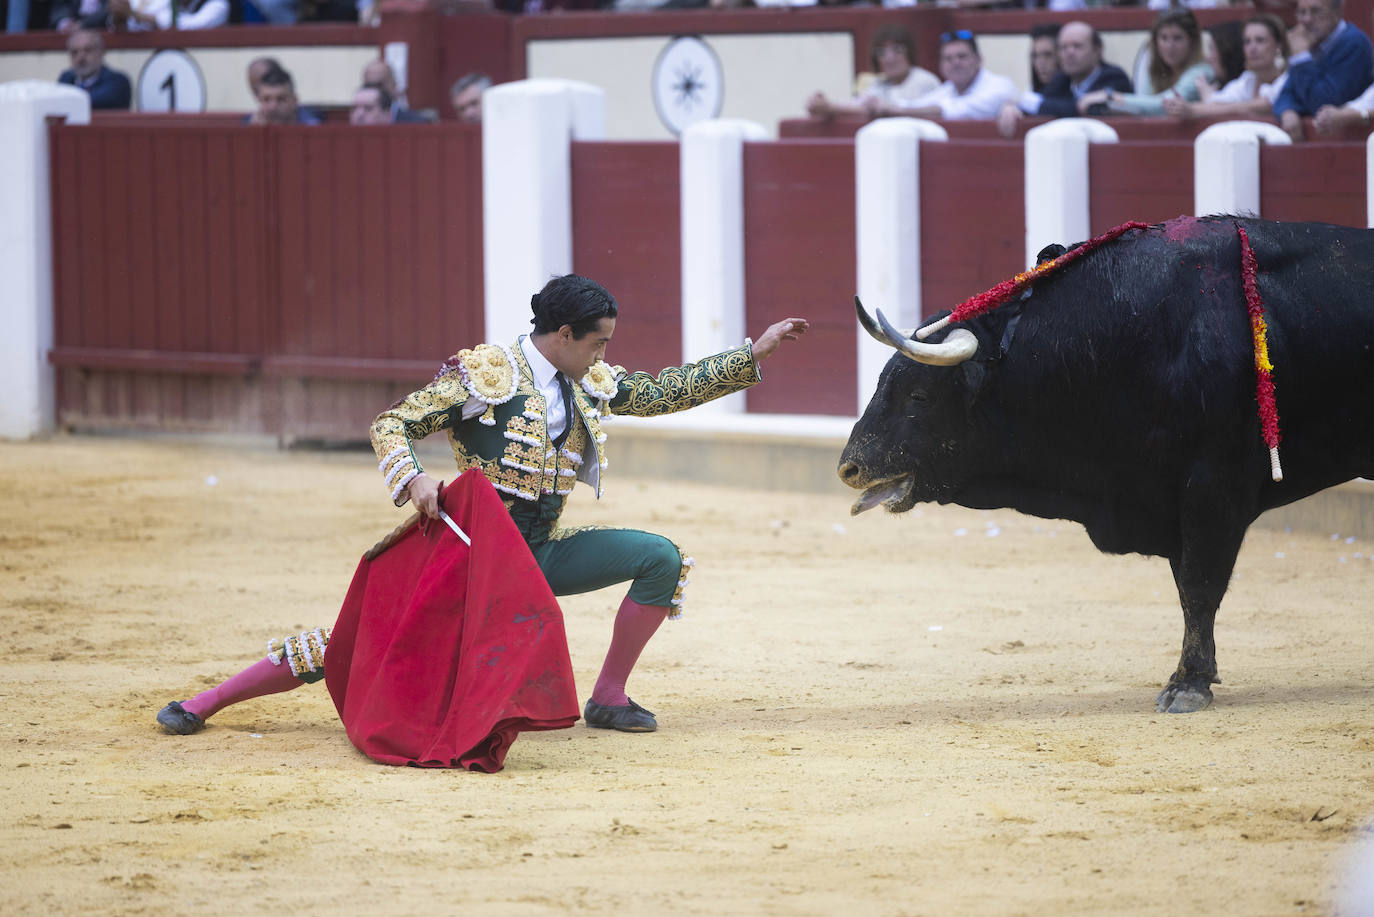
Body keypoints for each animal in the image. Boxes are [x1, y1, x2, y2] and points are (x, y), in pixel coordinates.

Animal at [835, 217, 1374, 714]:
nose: (849, 469)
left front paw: (1188, 685)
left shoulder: (1214, 486)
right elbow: (1186, 586)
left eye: (919, 395)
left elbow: (1200, 585)